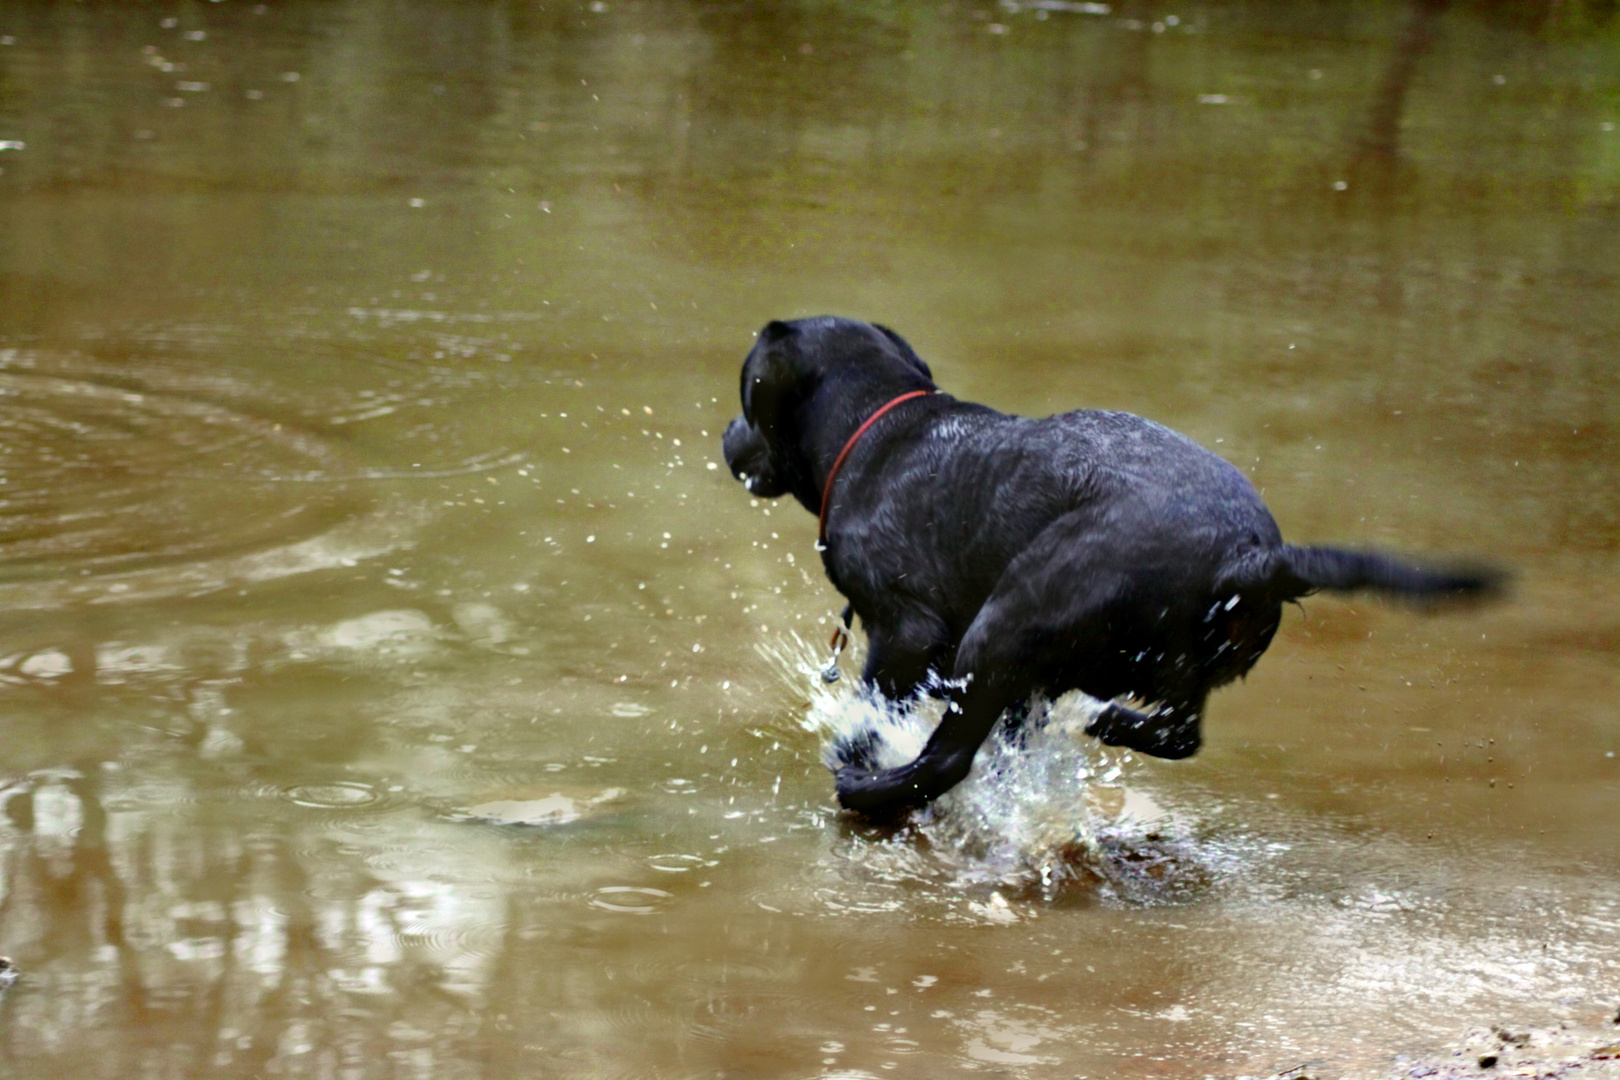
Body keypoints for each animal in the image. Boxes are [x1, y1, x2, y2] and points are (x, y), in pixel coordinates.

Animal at [722, 317, 1490, 816]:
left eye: (744, 397)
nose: (729, 433)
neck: (877, 427)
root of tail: (1257, 556)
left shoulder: (907, 633)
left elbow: (875, 709)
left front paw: (856, 750)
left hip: (1006, 622)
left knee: (950, 756)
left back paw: (872, 795)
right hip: (1164, 665)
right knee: (1177, 731)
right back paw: (1102, 721)